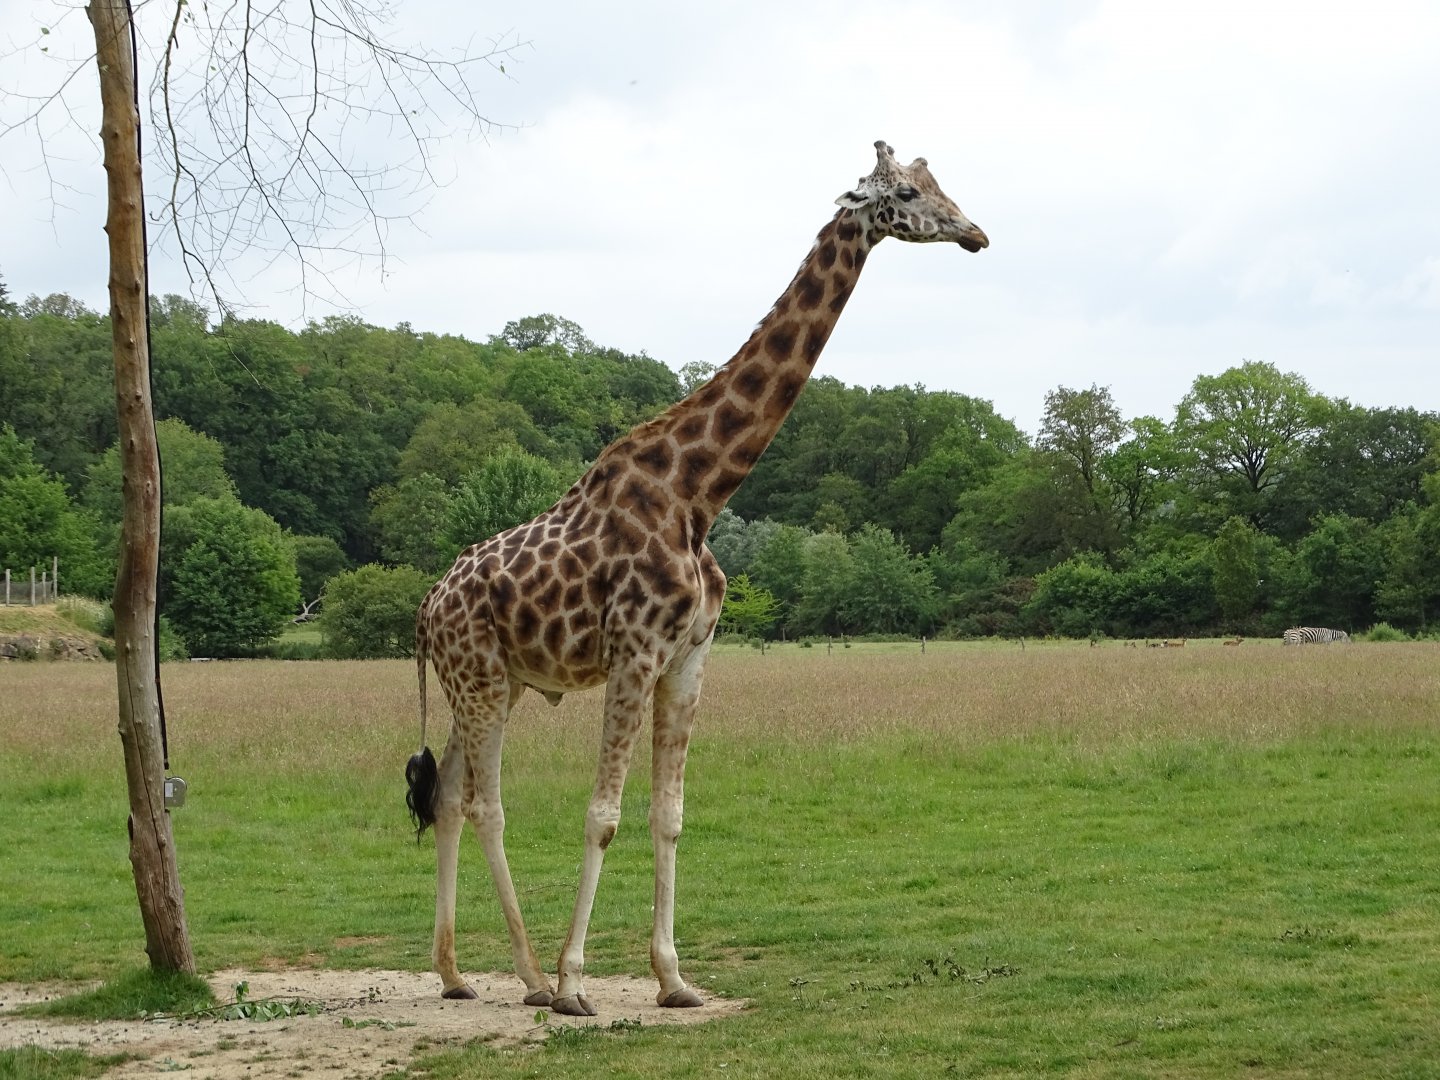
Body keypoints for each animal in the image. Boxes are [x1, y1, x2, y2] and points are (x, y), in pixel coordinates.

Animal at [406, 140, 988, 1017]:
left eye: (941, 183)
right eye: (911, 194)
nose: (976, 233)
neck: (700, 494)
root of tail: (425, 607)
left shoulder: (689, 657)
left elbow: (670, 814)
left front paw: (674, 979)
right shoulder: (634, 652)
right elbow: (602, 814)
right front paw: (578, 983)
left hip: (494, 681)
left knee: (445, 796)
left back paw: (454, 972)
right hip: (477, 678)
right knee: (485, 804)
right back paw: (536, 978)